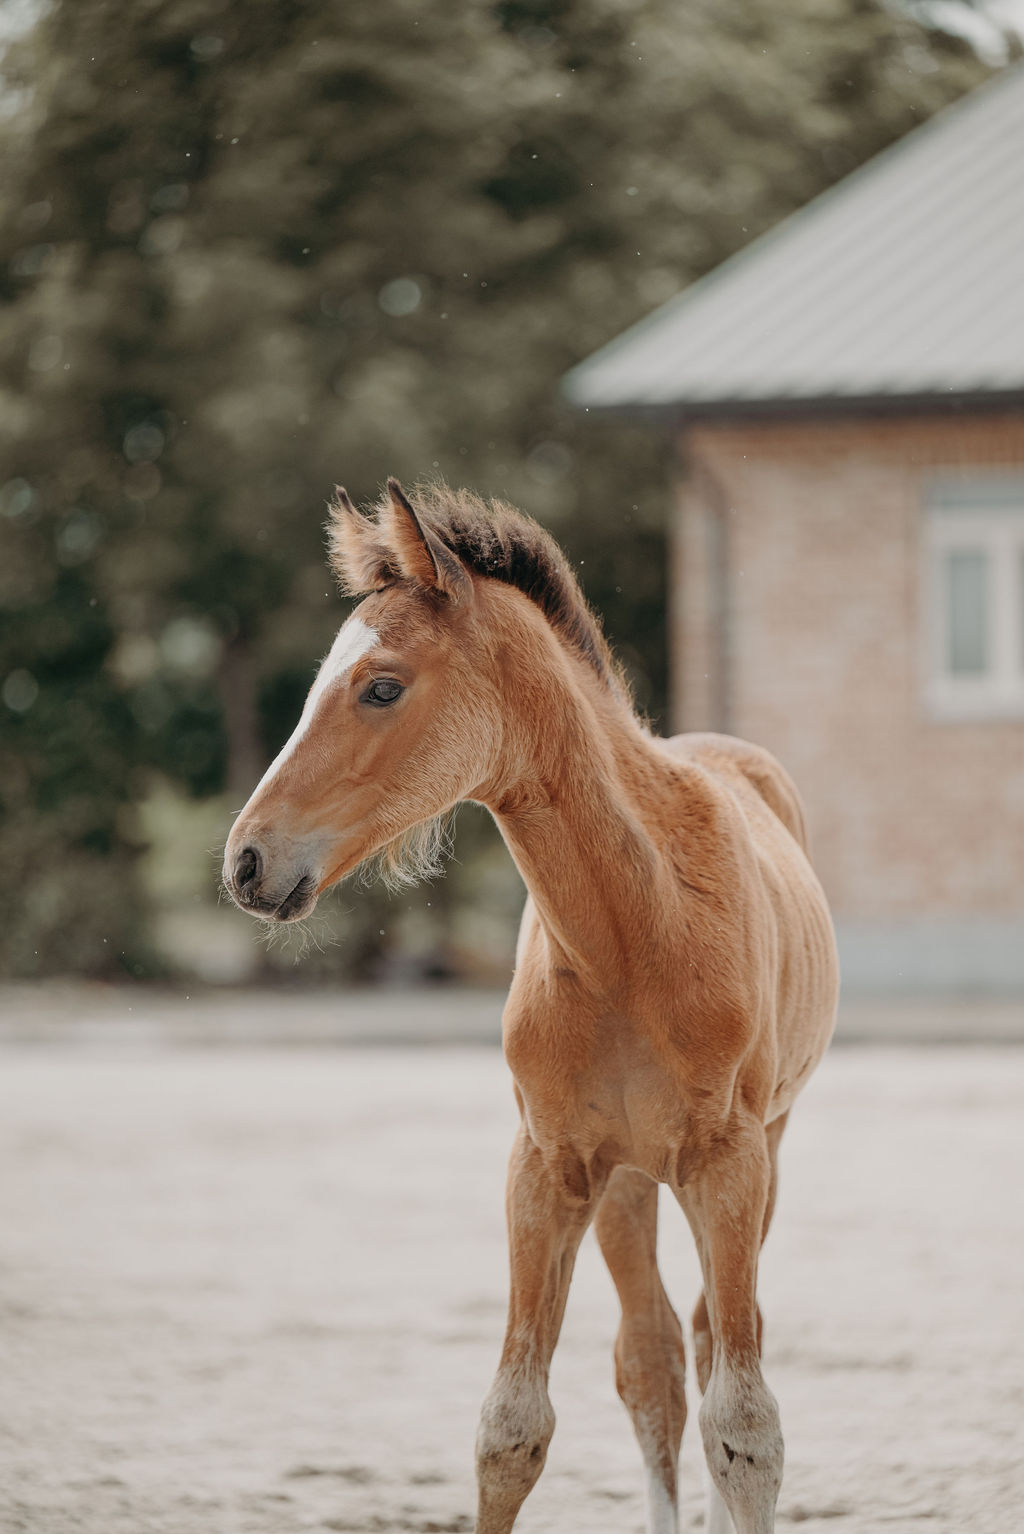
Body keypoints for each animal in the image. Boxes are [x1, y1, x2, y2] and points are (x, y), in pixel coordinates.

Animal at [223, 478, 838, 1534]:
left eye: (381, 686)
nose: (247, 862)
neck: (635, 937)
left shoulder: (731, 1162)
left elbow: (747, 1426)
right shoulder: (546, 1166)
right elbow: (512, 1426)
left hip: (764, 1145)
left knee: (709, 1342)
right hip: (628, 1177)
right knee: (652, 1358)